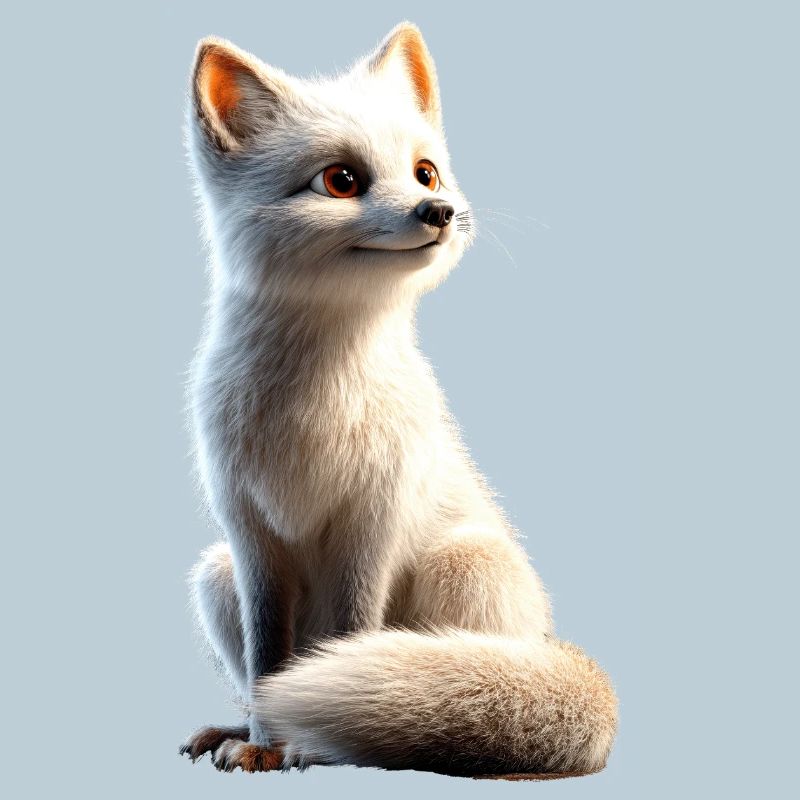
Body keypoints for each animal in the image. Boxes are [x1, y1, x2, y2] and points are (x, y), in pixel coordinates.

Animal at [179, 22, 617, 778]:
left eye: (425, 172)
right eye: (342, 180)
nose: (438, 212)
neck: (314, 408)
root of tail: (546, 638)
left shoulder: (373, 517)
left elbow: (353, 634)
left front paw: (310, 745)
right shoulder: (251, 534)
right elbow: (269, 662)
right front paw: (264, 742)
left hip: (462, 564)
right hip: (215, 575)